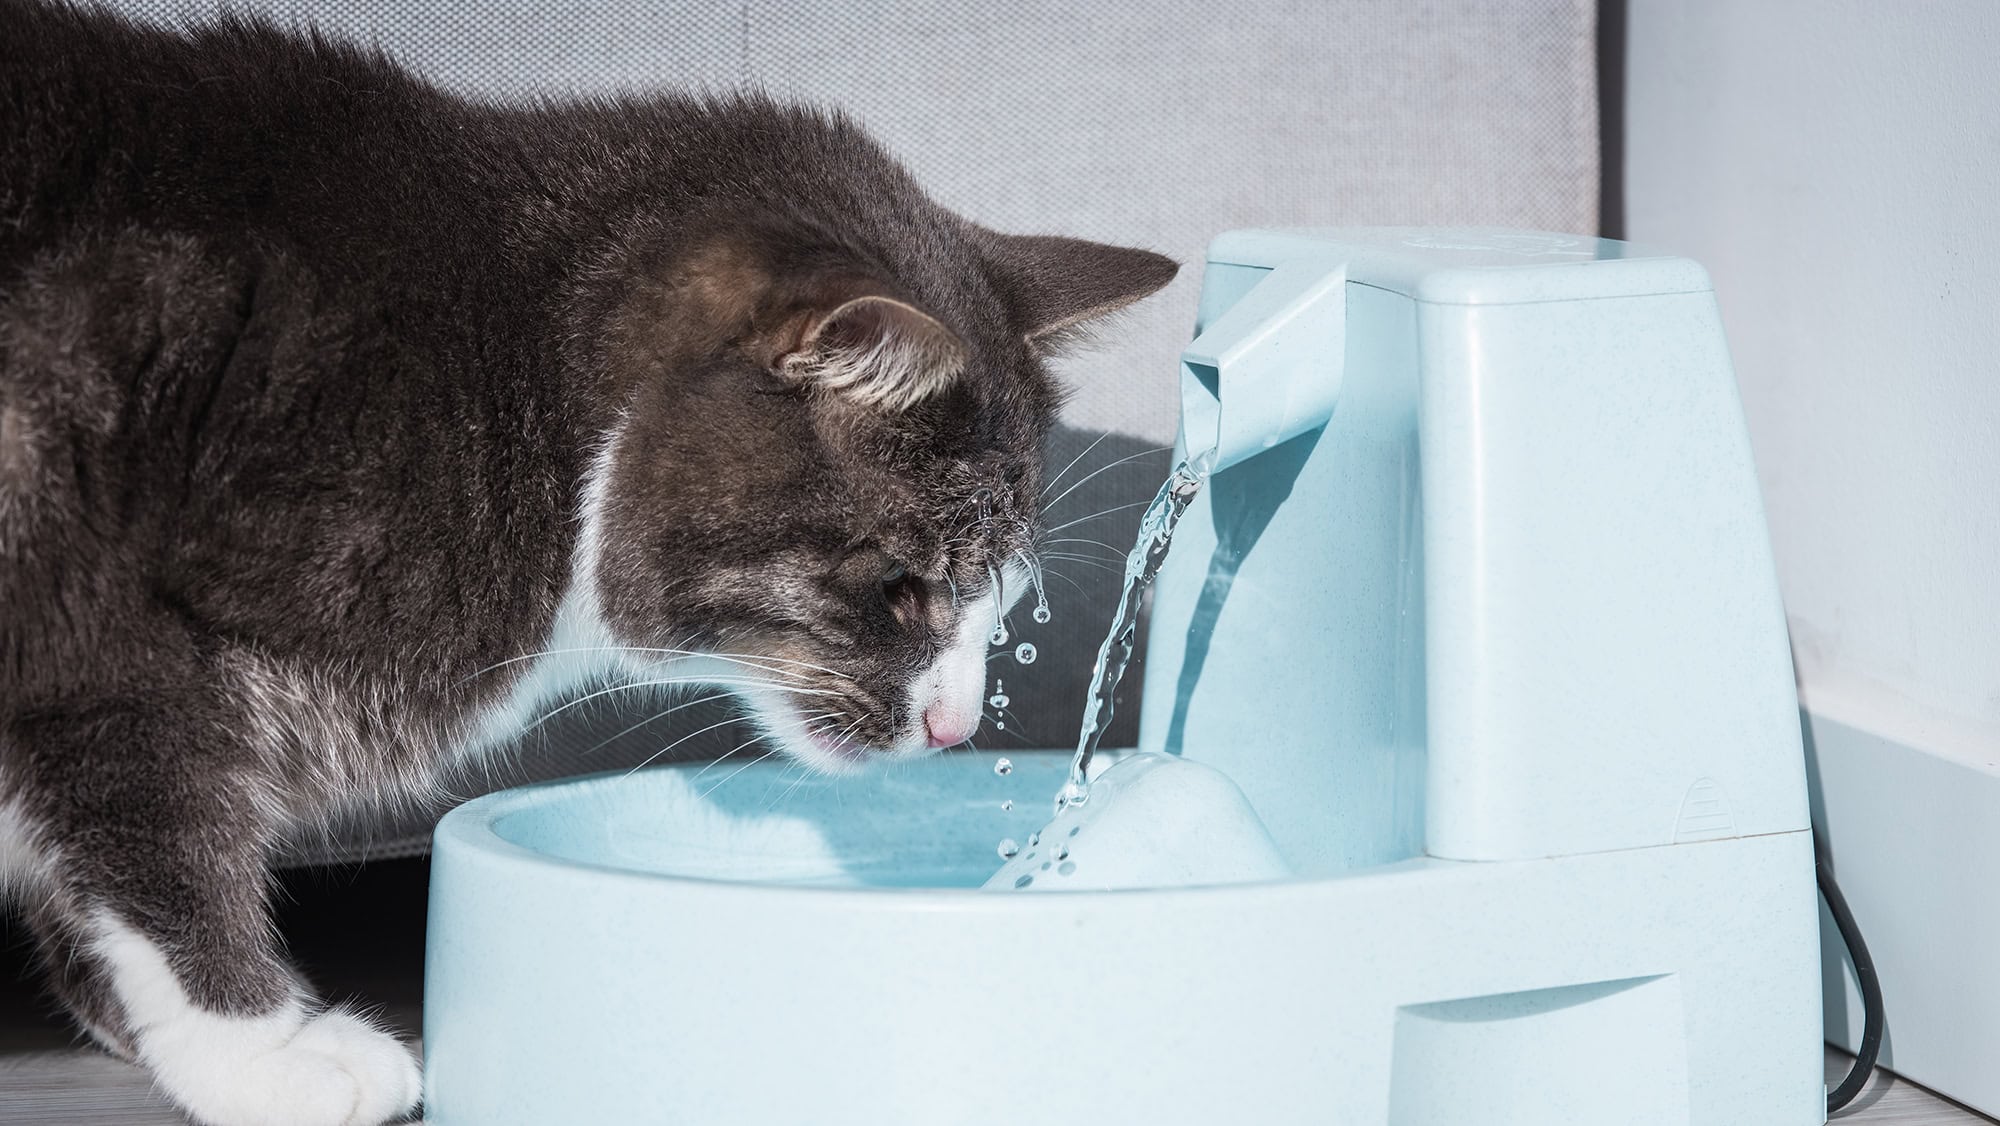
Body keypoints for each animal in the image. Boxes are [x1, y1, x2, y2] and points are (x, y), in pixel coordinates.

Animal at [0, 4, 1168, 1120]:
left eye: (999, 593)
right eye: (902, 586)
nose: (956, 727)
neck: (508, 368)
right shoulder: (96, 608)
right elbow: (159, 831)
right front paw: (259, 1054)